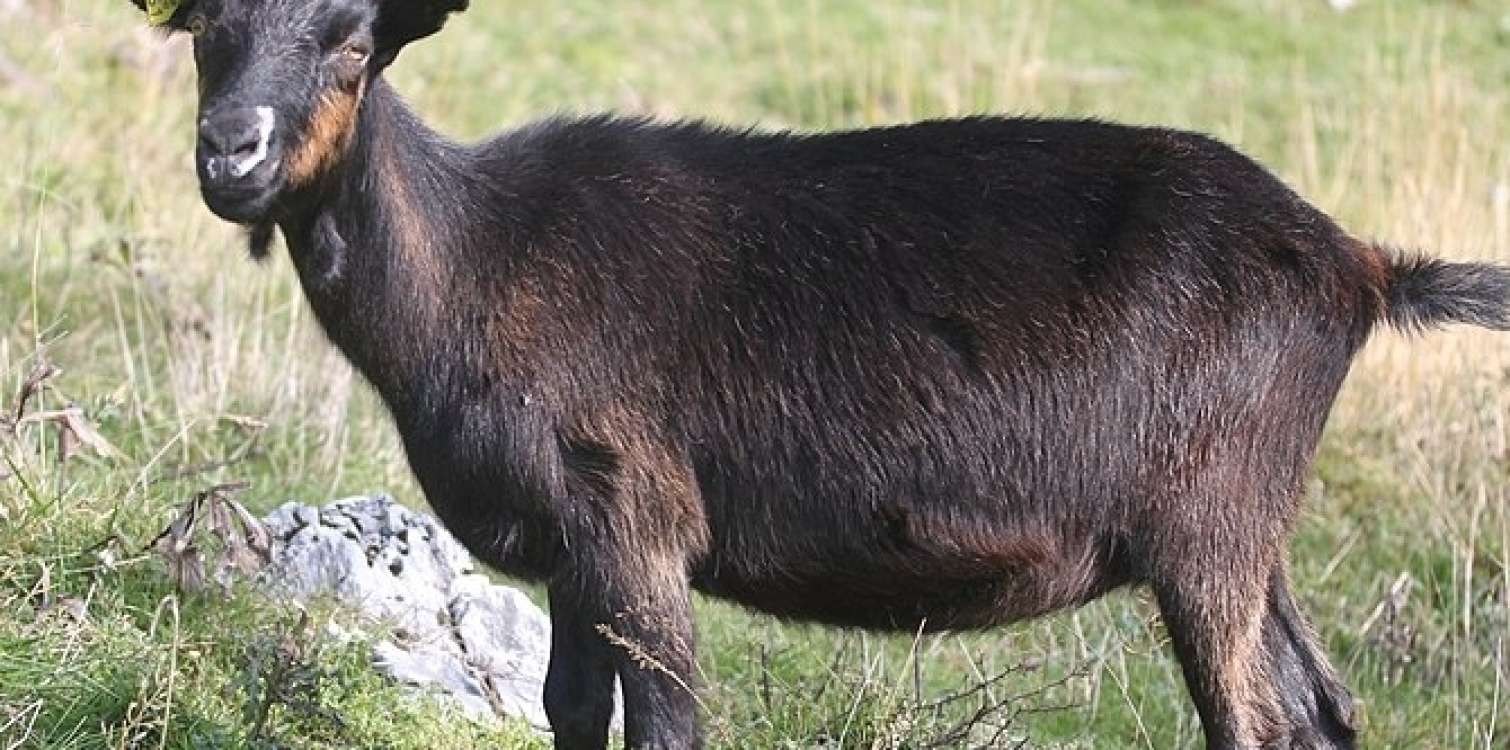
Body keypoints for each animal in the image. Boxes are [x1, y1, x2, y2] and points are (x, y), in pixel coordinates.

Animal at [121, 1, 1509, 748]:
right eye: (205, 35)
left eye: (354, 46)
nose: (229, 151)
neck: (473, 259)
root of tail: (1360, 267)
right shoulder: (571, 553)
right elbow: (569, 709)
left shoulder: (635, 522)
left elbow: (666, 719)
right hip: (1247, 530)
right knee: (1320, 708)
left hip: (1209, 524)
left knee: (1251, 717)